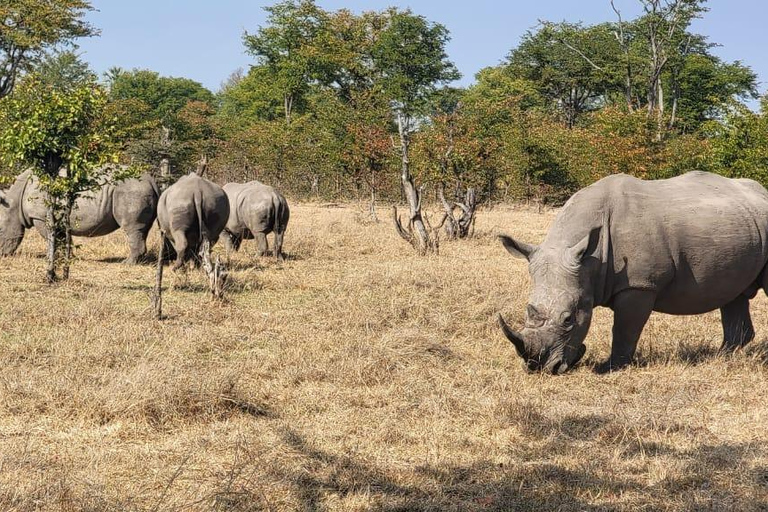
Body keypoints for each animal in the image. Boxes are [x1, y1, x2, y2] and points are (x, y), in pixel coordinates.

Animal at [0, 168, 159, 263]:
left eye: (0, 231)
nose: (2, 255)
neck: (14, 200)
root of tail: (151, 180)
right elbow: (63, 239)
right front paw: (68, 259)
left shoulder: (41, 217)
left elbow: (52, 238)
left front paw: (56, 259)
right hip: (138, 190)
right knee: (143, 230)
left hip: (131, 191)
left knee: (132, 228)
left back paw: (127, 263)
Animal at [498, 171, 768, 374]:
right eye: (528, 310)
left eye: (568, 319)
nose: (540, 368)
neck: (590, 260)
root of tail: (761, 192)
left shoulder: (640, 284)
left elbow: (624, 328)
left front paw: (608, 367)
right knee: (734, 296)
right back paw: (719, 357)